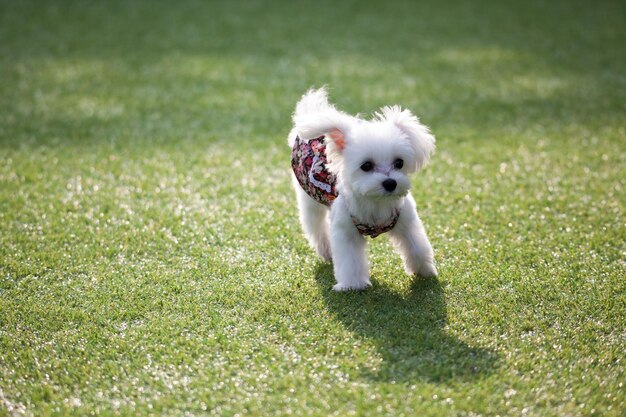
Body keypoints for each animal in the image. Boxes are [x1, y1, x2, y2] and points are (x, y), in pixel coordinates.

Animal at [288, 87, 434, 290]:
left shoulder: (406, 221)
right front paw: (352, 285)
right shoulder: (345, 231)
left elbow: (417, 246)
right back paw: (326, 250)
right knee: (315, 226)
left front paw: (424, 270)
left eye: (399, 162)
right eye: (366, 166)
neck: (376, 202)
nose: (390, 183)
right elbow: (350, 261)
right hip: (309, 200)